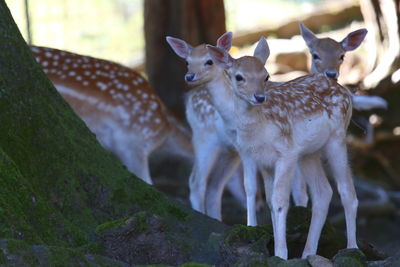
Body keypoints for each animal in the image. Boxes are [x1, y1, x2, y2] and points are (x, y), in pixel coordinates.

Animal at [208, 38, 358, 260]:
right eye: (239, 77)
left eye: (266, 76)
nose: (259, 97)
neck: (261, 129)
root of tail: (344, 91)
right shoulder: (262, 160)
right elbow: (269, 201)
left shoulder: (286, 153)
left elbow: (279, 201)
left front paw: (280, 254)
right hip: (308, 153)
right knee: (323, 192)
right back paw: (308, 253)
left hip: (337, 138)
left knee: (347, 192)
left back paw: (352, 248)